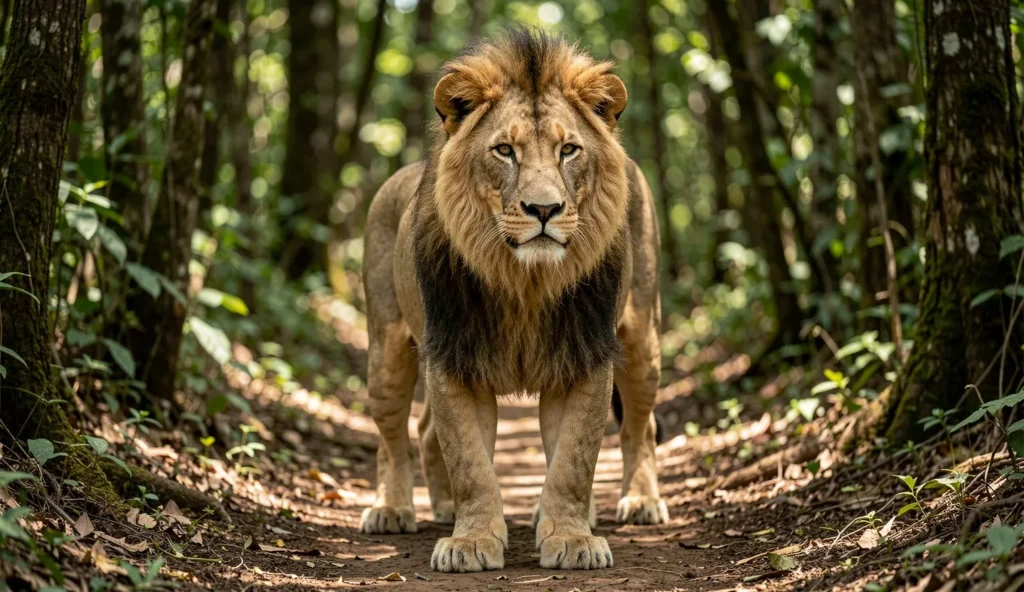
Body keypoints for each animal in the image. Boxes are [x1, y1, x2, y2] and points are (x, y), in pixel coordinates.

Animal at [359, 30, 667, 573]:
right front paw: (471, 541)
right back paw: (397, 509)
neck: (526, 281)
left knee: (640, 425)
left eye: (569, 150)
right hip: (387, 352)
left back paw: (637, 501)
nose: (544, 209)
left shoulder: (584, 355)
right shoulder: (453, 356)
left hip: (642, 340)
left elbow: (574, 459)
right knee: (398, 434)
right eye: (504, 150)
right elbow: (470, 462)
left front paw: (571, 537)